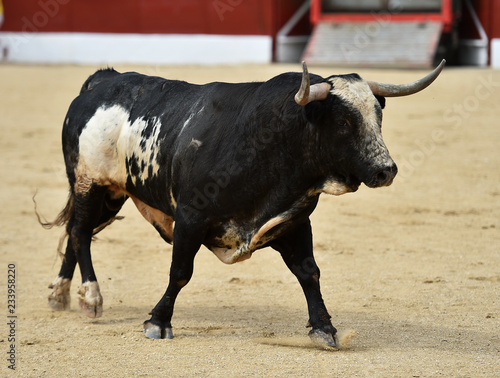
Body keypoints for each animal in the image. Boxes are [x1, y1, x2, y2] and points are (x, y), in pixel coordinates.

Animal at [42, 60, 446, 346]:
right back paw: (91, 296)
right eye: (345, 122)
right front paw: (158, 322)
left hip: (111, 193)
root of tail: (102, 80)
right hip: (88, 182)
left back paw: (61, 294)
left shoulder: (293, 221)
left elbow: (309, 272)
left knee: (76, 232)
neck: (270, 143)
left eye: (378, 115)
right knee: (80, 231)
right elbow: (180, 272)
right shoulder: (190, 217)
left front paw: (324, 328)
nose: (385, 170)